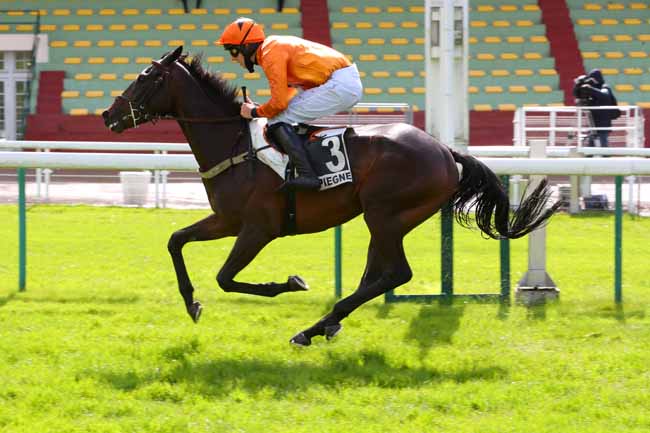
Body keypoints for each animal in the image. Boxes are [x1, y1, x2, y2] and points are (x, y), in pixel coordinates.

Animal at [103, 46, 560, 346]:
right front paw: (191, 303)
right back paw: (325, 324)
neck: (234, 144)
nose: (108, 114)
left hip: (385, 213)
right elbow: (175, 240)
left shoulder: (257, 229)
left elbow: (226, 278)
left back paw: (316, 326)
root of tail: (445, 150)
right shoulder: (226, 220)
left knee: (396, 274)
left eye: (145, 78)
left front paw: (290, 282)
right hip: (386, 221)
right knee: (376, 275)